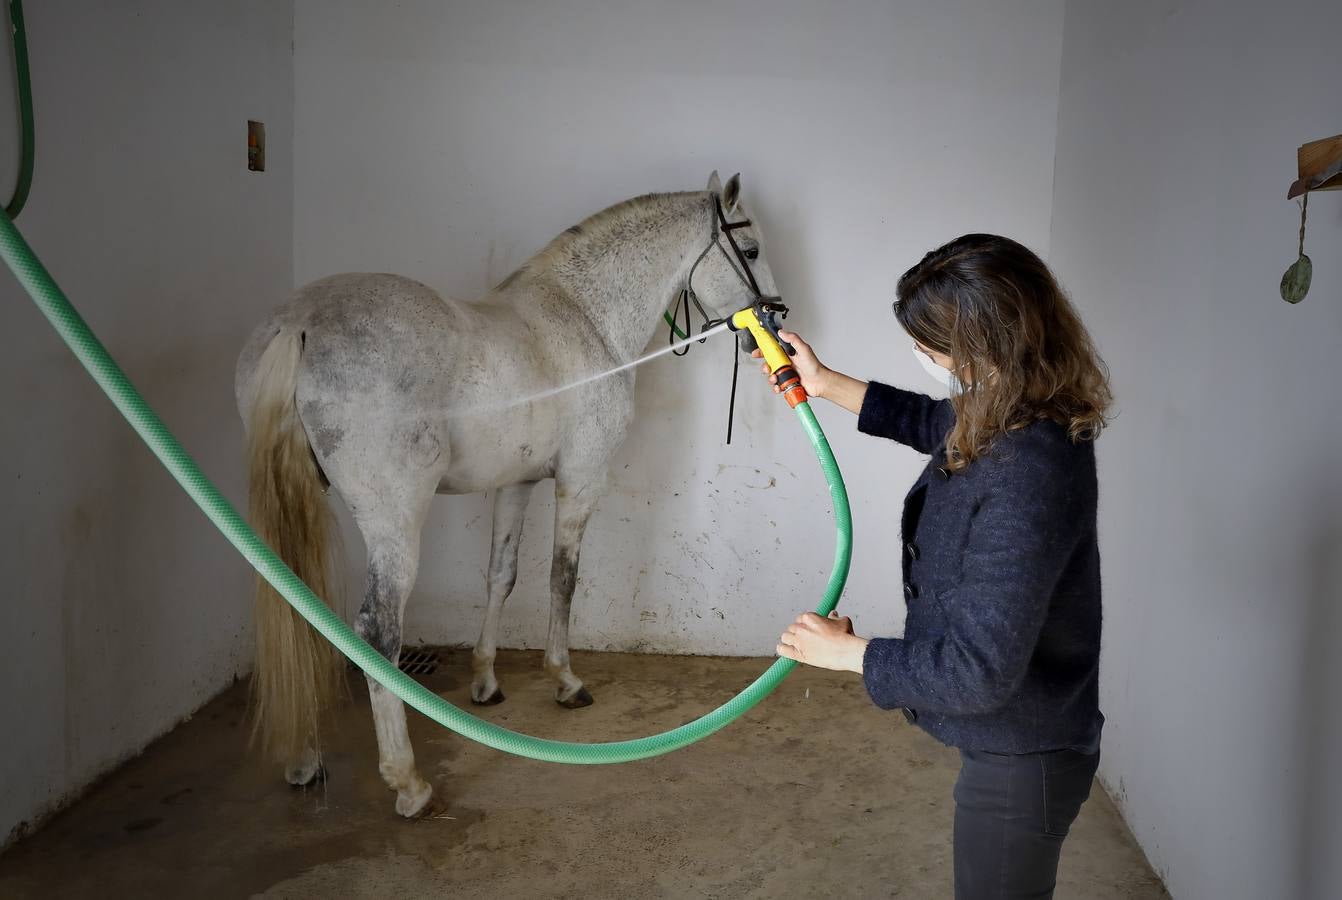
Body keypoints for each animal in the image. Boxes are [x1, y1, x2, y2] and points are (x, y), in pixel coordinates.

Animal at [236, 171, 783, 815]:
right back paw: (408, 782)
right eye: (751, 250)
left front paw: (485, 681)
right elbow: (562, 579)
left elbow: (502, 576)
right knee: (377, 630)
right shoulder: (580, 482)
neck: (583, 316)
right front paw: (565, 681)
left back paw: (303, 759)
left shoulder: (516, 484)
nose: (776, 322)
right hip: (395, 523)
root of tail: (297, 323)